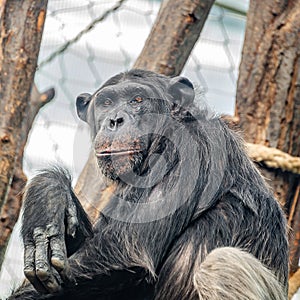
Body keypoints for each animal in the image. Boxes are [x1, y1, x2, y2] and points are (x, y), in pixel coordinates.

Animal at [10, 69, 290, 298]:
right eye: (106, 103)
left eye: (137, 99)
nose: (115, 120)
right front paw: (48, 197)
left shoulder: (189, 148)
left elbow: (127, 250)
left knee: (221, 266)